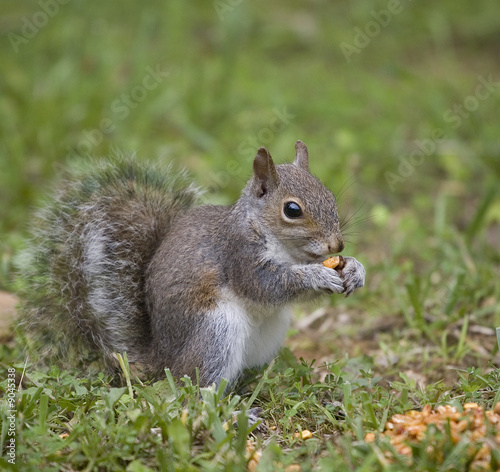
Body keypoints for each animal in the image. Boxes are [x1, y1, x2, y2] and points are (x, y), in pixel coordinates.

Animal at [17, 142, 366, 390]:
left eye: (330, 196)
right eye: (292, 210)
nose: (337, 246)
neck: (285, 249)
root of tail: (161, 359)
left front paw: (354, 269)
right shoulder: (237, 255)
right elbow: (266, 285)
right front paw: (317, 275)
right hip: (215, 330)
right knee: (197, 388)